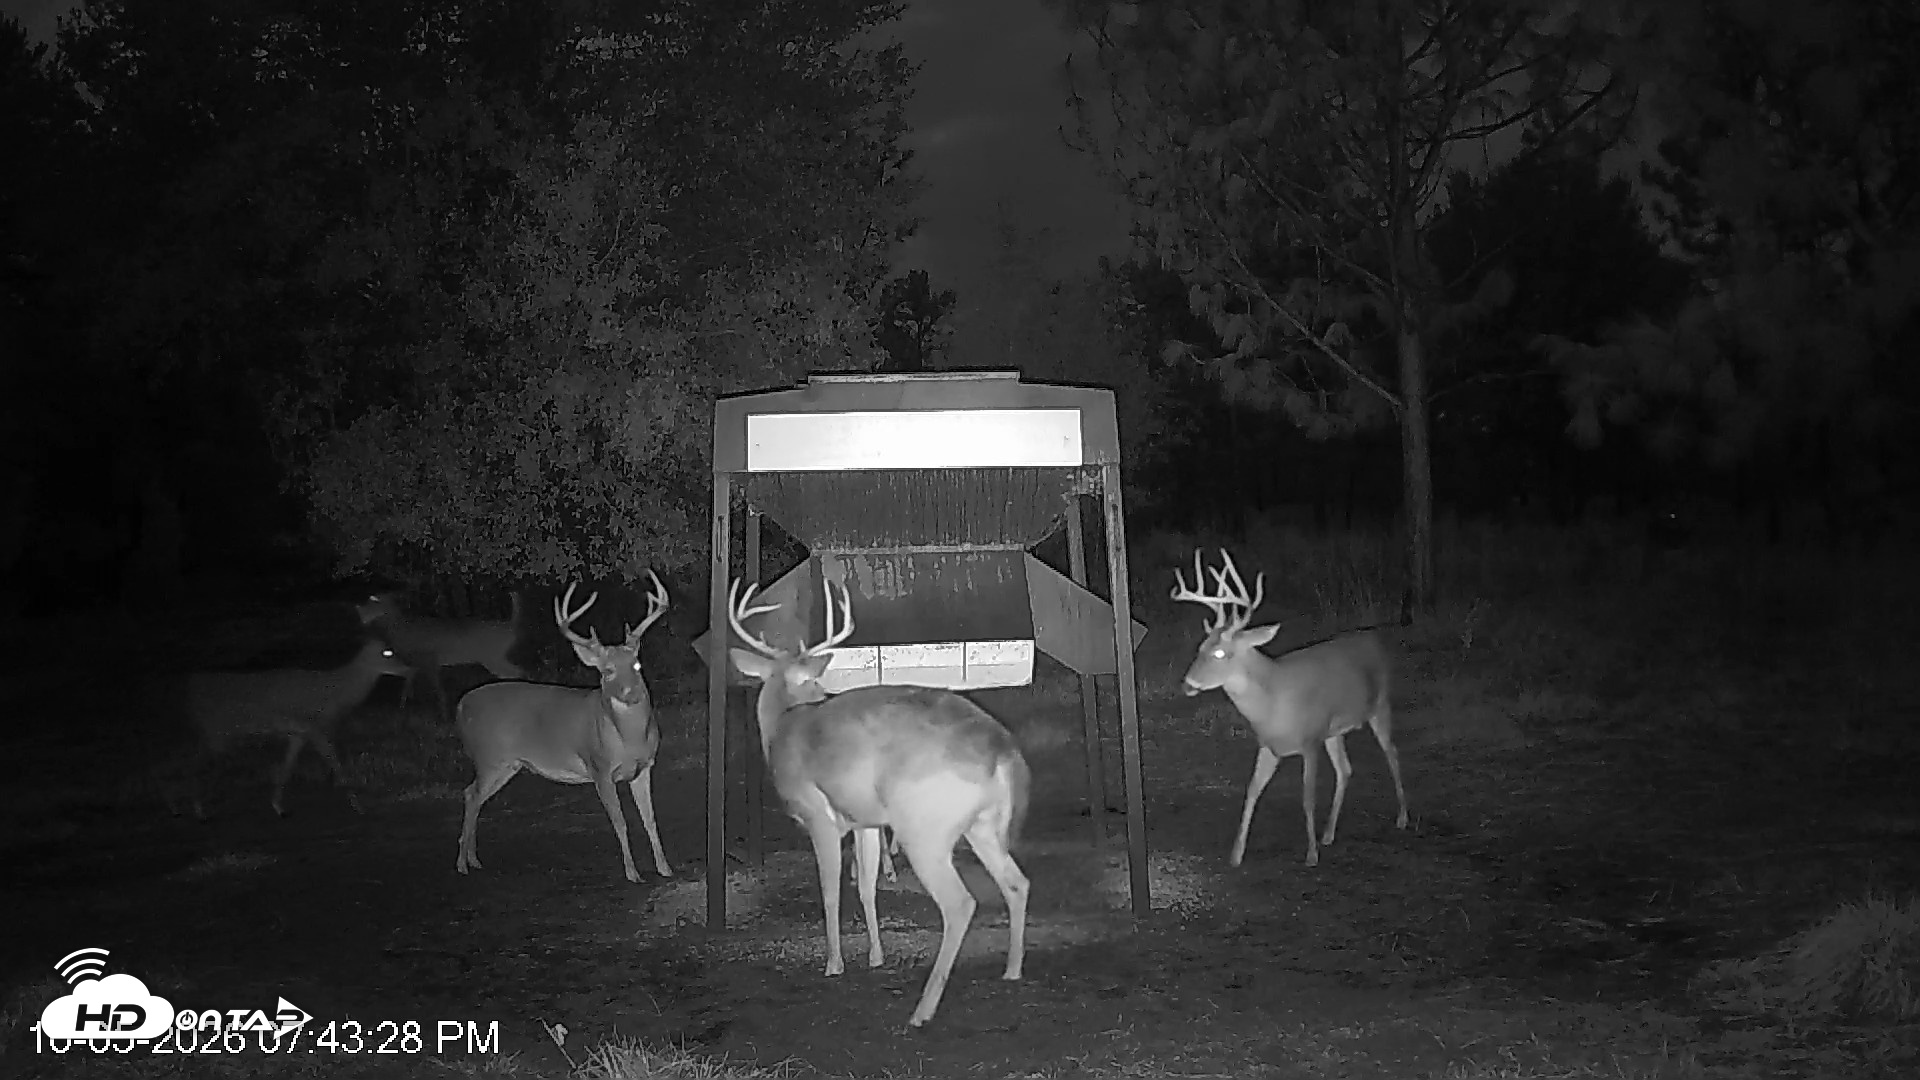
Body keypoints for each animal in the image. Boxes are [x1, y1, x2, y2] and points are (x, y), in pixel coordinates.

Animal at [177, 636, 412, 817]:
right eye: (387, 652)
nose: (408, 667)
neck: (337, 693)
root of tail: (190, 687)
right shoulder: (316, 728)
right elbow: (336, 764)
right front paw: (359, 806)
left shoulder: (298, 733)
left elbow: (286, 768)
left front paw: (278, 806)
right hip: (216, 732)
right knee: (195, 763)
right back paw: (197, 809)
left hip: (214, 734)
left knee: (195, 761)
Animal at [355, 589, 526, 716]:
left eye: (375, 600)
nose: (359, 612)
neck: (402, 631)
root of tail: (510, 627)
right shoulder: (417, 663)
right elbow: (408, 684)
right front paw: (403, 707)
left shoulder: (430, 659)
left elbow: (437, 689)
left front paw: (443, 715)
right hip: (495, 658)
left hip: (492, 657)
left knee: (516, 672)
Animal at [453, 573, 674, 884]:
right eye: (607, 671)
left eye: (637, 665)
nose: (631, 693)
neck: (629, 739)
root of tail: (461, 706)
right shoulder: (599, 767)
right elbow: (620, 822)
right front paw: (632, 873)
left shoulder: (644, 767)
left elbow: (650, 820)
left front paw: (665, 868)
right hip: (489, 757)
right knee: (471, 795)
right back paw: (462, 863)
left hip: (507, 765)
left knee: (473, 795)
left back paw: (473, 860)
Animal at [727, 574, 1030, 1030]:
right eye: (813, 680)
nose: (825, 690)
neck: (783, 724)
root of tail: (1003, 751)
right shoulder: (866, 821)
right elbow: (867, 886)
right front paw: (875, 955)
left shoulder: (817, 814)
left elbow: (830, 889)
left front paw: (834, 963)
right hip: (984, 826)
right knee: (1017, 882)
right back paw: (1012, 970)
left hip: (924, 828)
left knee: (960, 903)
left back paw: (922, 1010)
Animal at [1171, 549, 1410, 868]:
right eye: (1201, 647)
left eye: (1220, 653)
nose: (1188, 684)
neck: (1273, 701)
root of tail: (1374, 637)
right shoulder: (1269, 745)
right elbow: (1252, 791)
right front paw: (1236, 854)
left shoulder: (1310, 741)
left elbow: (1307, 797)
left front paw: (1310, 855)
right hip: (1334, 730)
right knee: (1346, 769)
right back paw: (1328, 834)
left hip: (1379, 705)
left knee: (1392, 753)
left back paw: (1402, 818)